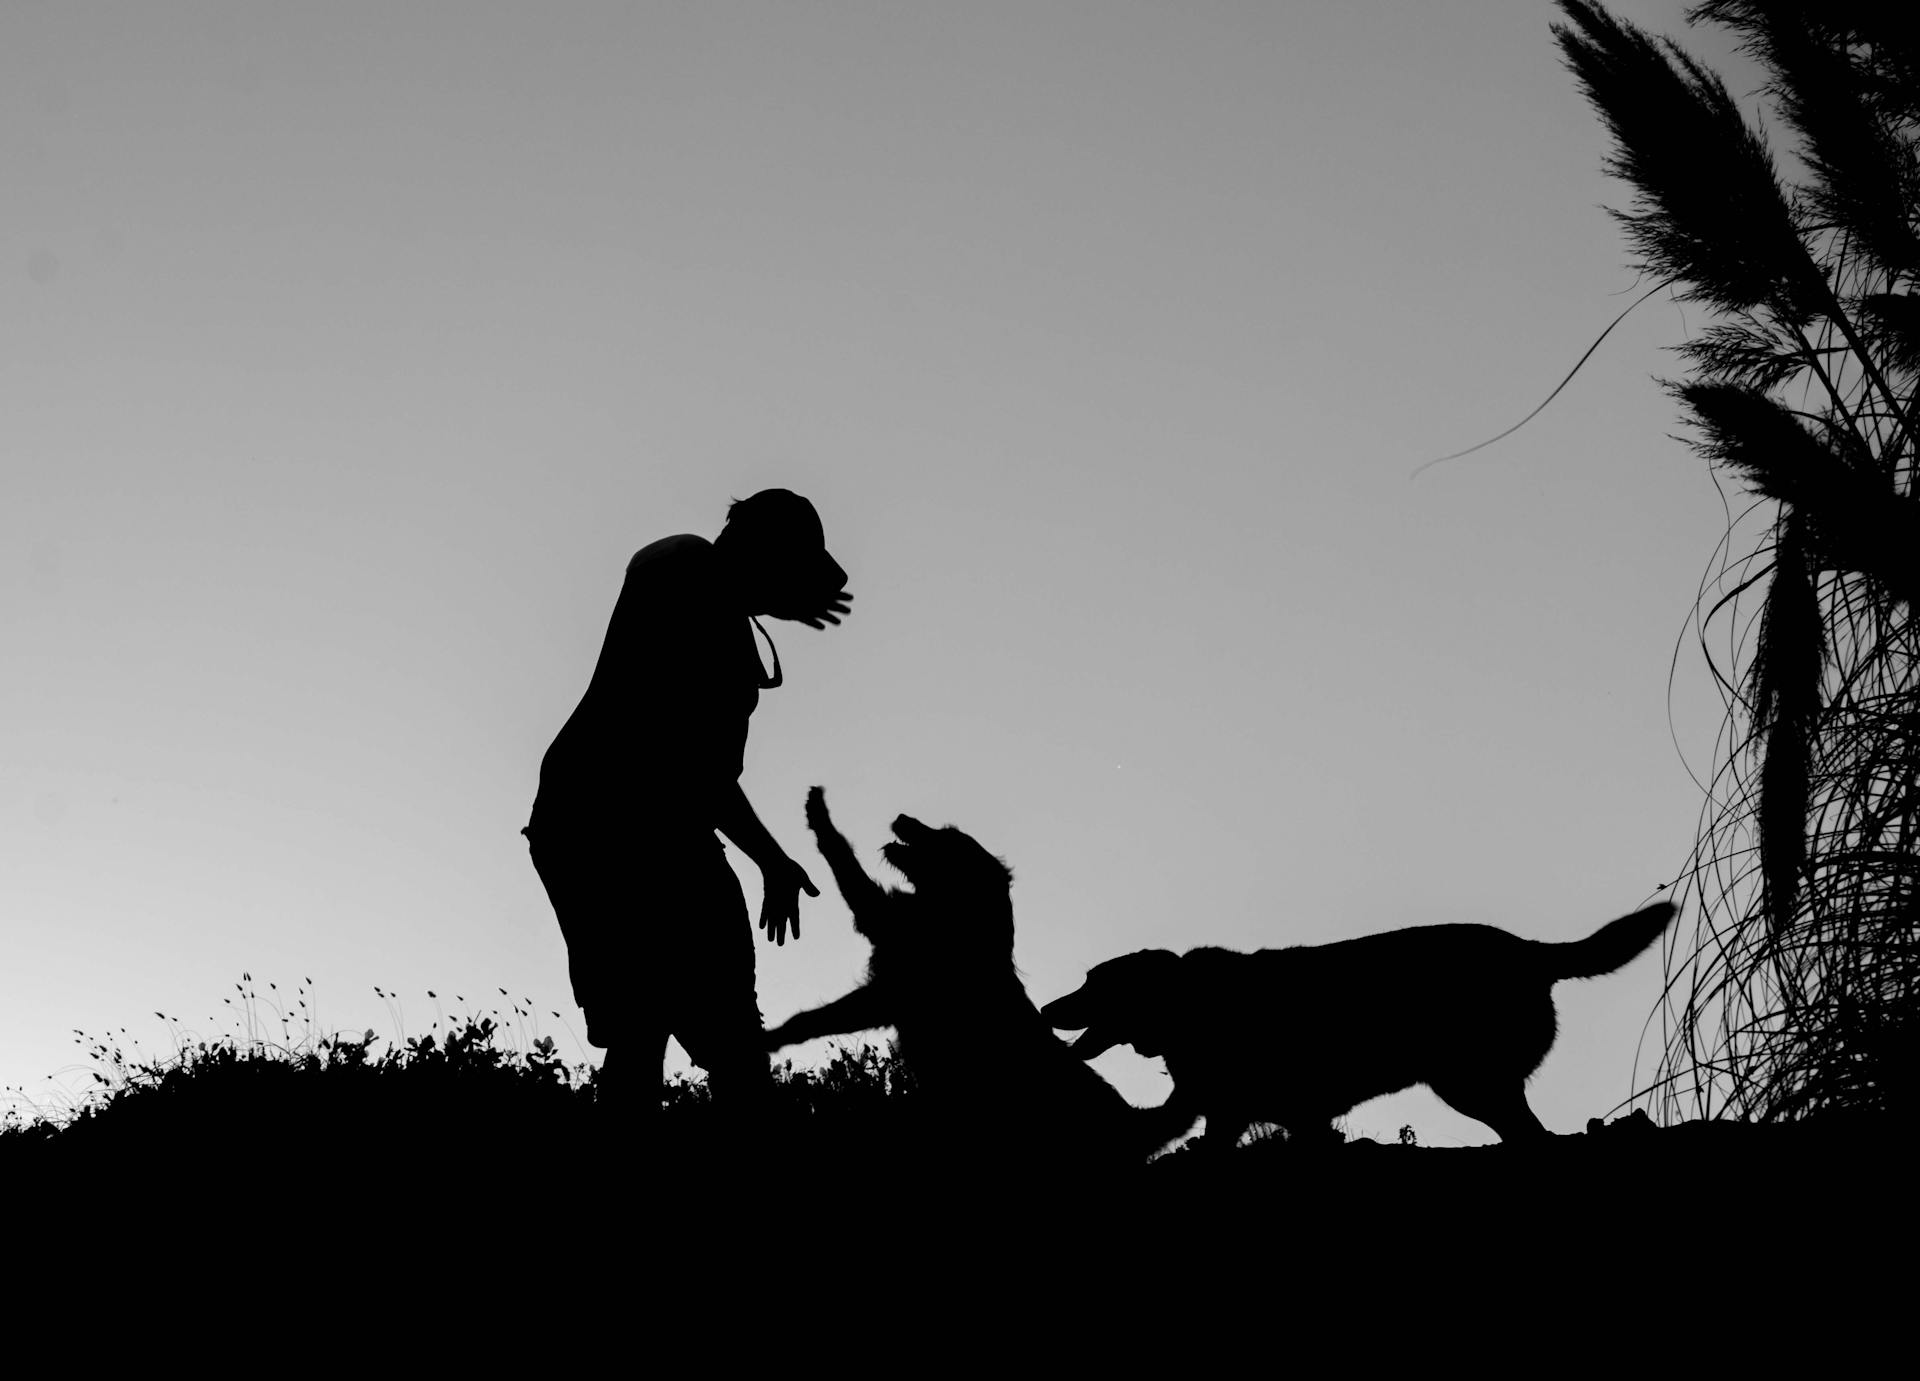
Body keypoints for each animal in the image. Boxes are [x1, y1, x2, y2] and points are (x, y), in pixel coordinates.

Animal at [1036, 902, 1681, 1152]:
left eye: (1094, 983)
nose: (1045, 1009)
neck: (1188, 1005)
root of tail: (1528, 950)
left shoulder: (1265, 1113)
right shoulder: (1270, 1116)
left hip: (1470, 1083)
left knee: (1533, 1135)